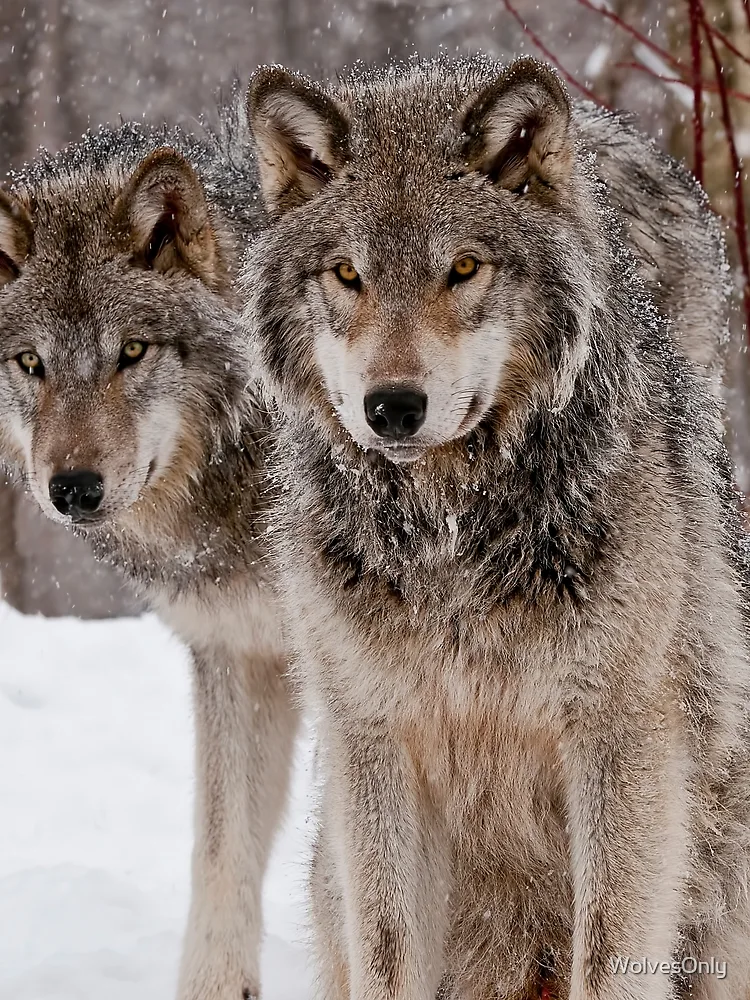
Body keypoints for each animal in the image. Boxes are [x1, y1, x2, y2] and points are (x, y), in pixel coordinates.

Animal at [242, 56, 750, 1000]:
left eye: (465, 267)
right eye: (348, 275)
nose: (393, 406)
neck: (450, 533)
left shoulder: (622, 743)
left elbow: (609, 958)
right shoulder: (376, 745)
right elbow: (388, 956)